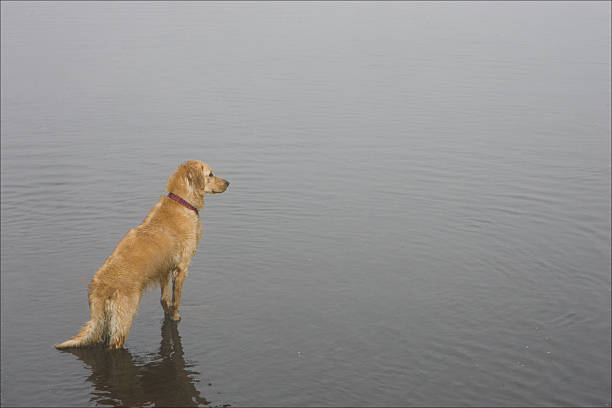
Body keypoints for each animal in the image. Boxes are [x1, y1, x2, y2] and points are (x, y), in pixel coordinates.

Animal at [53, 161, 227, 350]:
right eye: (210, 174)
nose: (228, 183)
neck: (182, 202)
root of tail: (100, 287)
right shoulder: (181, 268)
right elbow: (176, 299)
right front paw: (175, 316)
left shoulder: (164, 269)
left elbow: (164, 299)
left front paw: (168, 311)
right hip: (122, 318)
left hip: (103, 321)